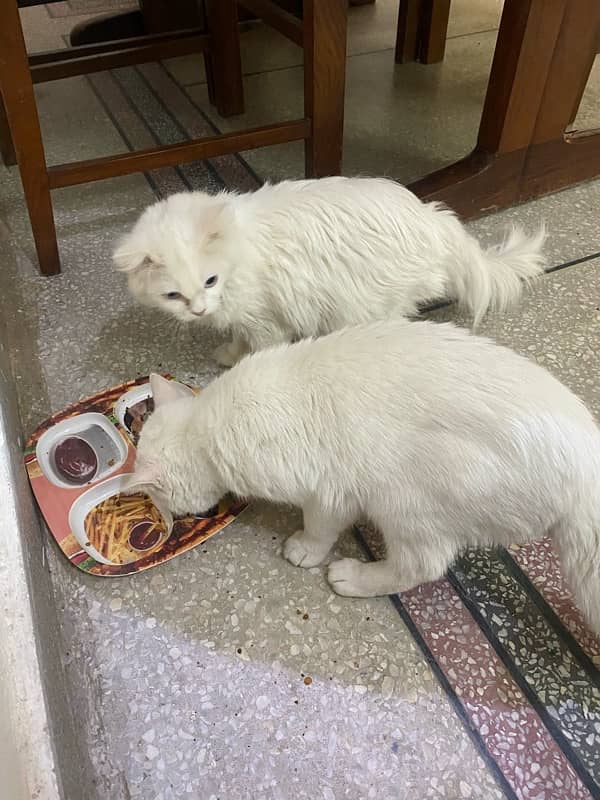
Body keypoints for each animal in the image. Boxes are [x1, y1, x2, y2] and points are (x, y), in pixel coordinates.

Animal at [113, 177, 548, 366]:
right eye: (173, 296)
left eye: (210, 281)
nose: (199, 310)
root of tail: (434, 217)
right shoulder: (243, 317)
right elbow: (238, 337)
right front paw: (229, 352)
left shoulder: (266, 320)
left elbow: (258, 347)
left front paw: (242, 363)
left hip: (365, 305)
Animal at [126, 318, 600, 632]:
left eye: (160, 500)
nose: (171, 519)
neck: (210, 423)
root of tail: (586, 466)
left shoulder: (327, 491)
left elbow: (319, 528)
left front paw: (304, 550)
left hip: (402, 494)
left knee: (422, 564)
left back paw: (354, 577)